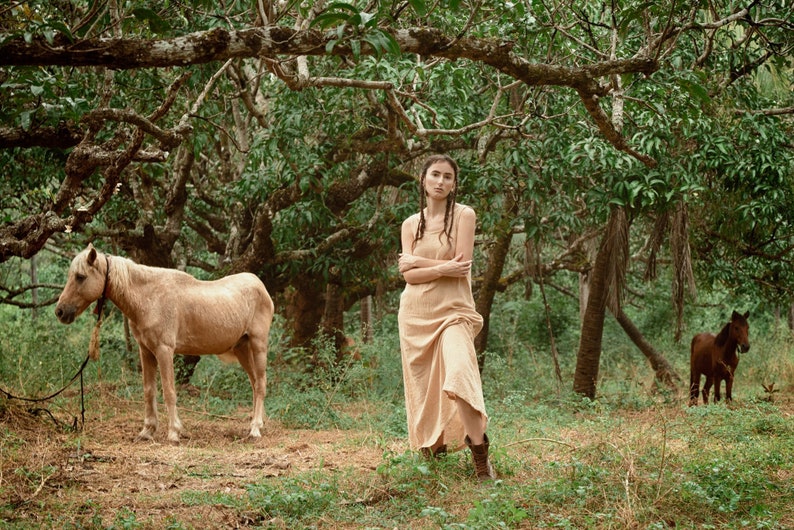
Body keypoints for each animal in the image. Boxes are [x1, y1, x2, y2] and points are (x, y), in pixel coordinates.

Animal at [55, 244, 272, 442]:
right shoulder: (146, 351)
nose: (60, 311)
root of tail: (260, 286)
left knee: (261, 384)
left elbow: (169, 391)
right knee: (254, 384)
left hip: (258, 346)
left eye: (80, 276)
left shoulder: (164, 350)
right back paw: (256, 423)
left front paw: (174, 433)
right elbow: (149, 390)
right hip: (242, 349)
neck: (149, 298)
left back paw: (255, 429)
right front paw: (147, 431)